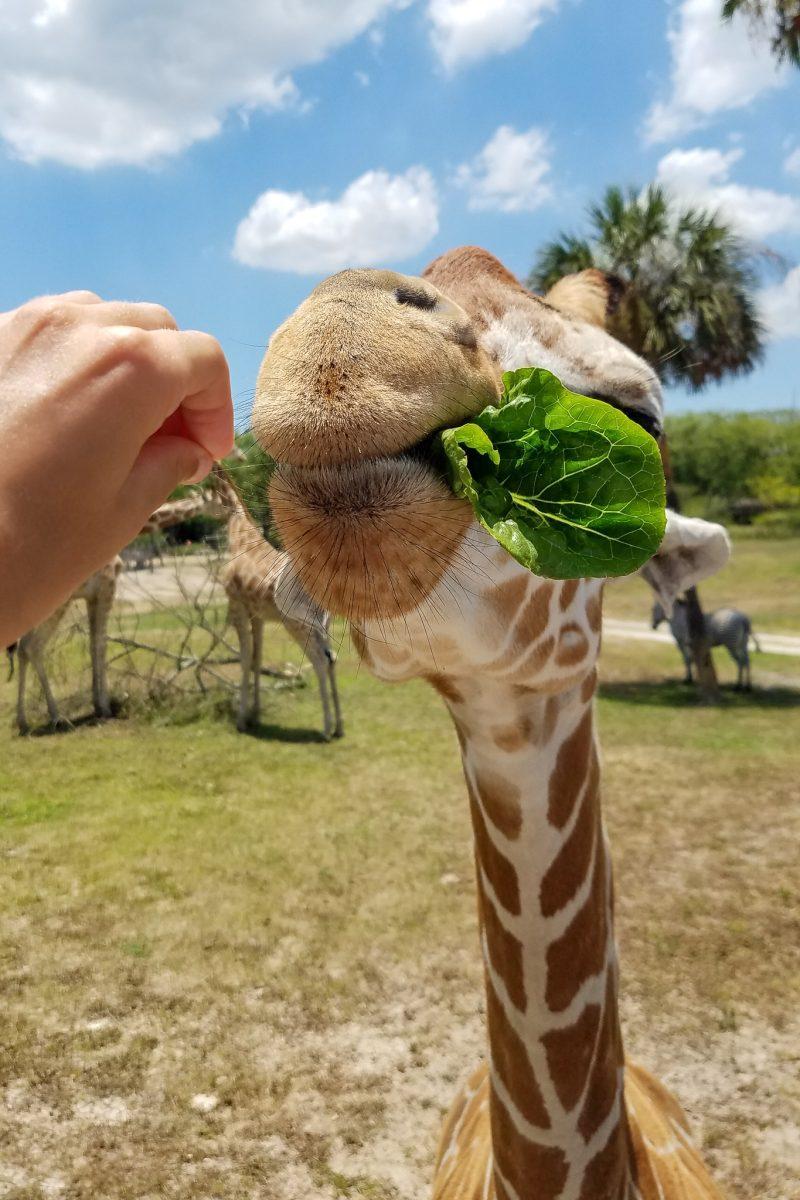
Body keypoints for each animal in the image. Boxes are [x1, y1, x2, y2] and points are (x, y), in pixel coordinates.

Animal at [11, 489, 228, 734]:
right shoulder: (108, 586)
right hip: (58, 603)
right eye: (220, 503)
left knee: (23, 647)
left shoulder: (92, 596)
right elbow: (101, 644)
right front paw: (105, 707)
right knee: (33, 646)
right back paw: (56, 716)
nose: (229, 515)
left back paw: (24, 721)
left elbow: (93, 645)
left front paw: (97, 703)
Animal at [207, 464, 344, 739]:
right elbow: (257, 658)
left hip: (297, 625)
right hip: (323, 624)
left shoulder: (237, 606)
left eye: (204, 495)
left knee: (320, 660)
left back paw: (326, 728)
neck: (239, 534)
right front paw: (255, 714)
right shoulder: (257, 614)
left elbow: (245, 658)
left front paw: (242, 720)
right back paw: (338, 727)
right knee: (332, 658)